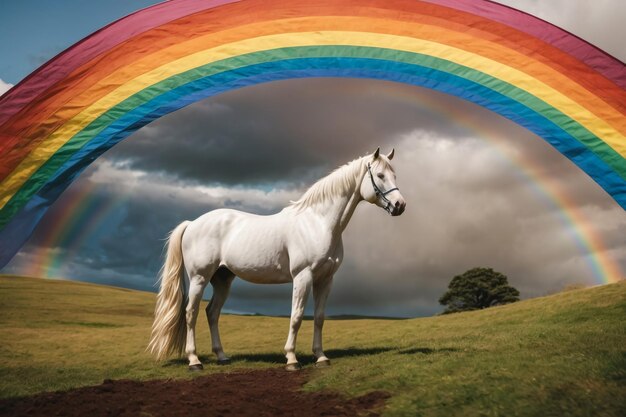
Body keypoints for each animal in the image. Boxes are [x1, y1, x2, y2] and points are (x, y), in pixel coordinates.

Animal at [150, 148, 404, 368]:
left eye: (394, 174)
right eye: (380, 175)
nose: (400, 205)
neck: (318, 222)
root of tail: (192, 223)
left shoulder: (325, 279)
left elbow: (319, 317)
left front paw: (321, 357)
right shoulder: (302, 276)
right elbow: (297, 316)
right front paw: (291, 359)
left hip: (222, 279)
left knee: (212, 313)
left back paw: (222, 356)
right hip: (199, 278)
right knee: (191, 313)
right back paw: (194, 361)